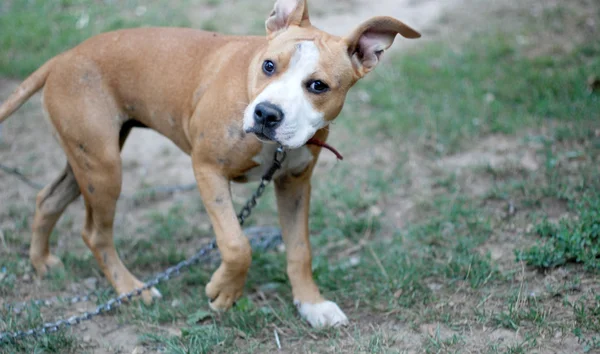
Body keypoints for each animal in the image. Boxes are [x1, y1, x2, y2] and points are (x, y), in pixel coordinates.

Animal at [0, 0, 420, 328]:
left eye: (318, 86)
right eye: (269, 66)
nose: (267, 114)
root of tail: (62, 57)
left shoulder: (295, 184)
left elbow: (300, 250)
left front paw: (312, 305)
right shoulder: (207, 169)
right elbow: (236, 243)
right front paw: (225, 291)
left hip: (86, 160)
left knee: (47, 200)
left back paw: (41, 262)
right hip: (104, 168)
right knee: (94, 233)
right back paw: (132, 290)